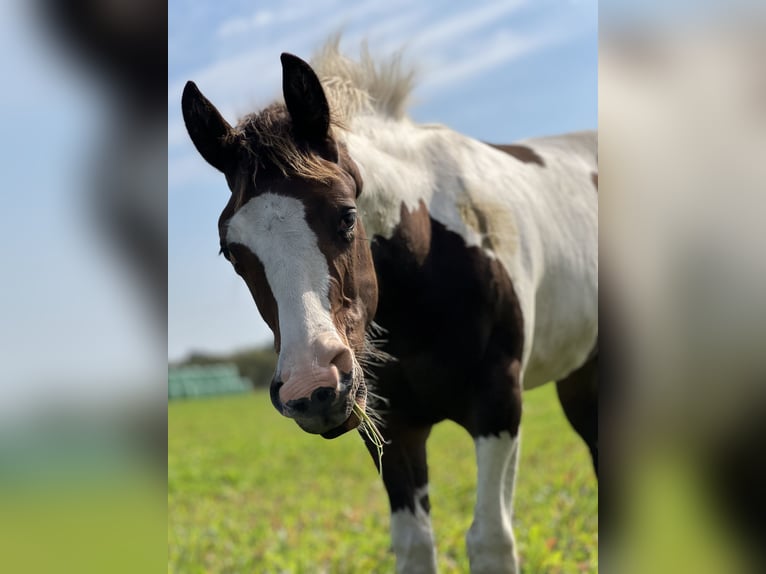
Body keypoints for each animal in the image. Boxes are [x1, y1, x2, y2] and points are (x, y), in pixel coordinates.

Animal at [182, 41, 600, 574]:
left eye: (347, 215)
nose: (311, 388)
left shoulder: (499, 404)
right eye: (231, 251)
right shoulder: (391, 428)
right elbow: (414, 545)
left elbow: (490, 538)